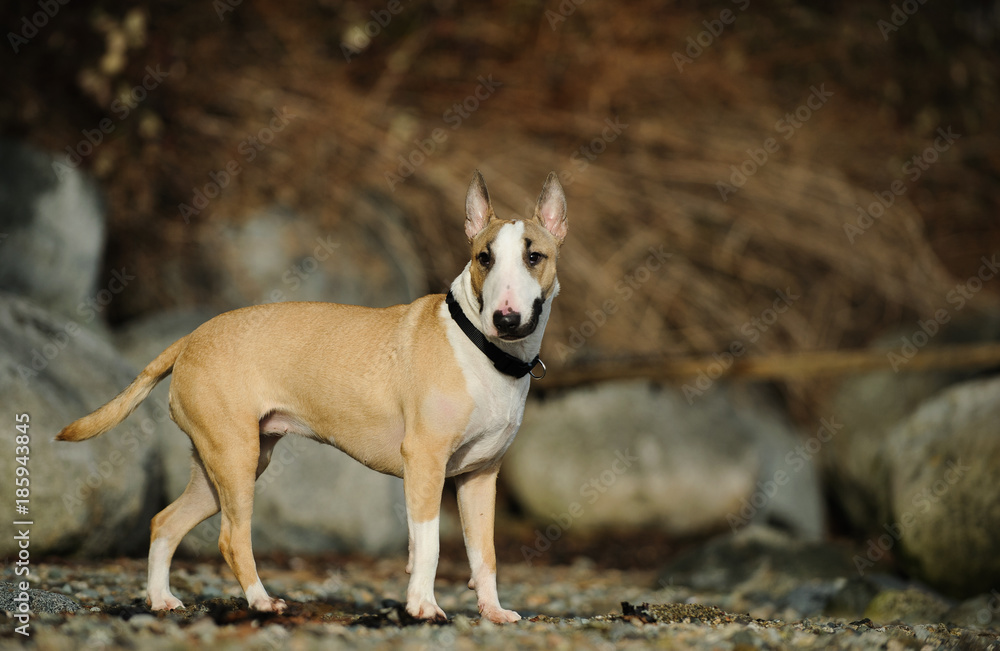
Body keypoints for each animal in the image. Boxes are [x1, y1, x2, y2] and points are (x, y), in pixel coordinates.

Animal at [56, 171, 572, 624]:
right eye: (484, 258)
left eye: (534, 257)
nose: (506, 319)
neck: (484, 350)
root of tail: (190, 339)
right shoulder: (425, 462)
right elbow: (428, 546)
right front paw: (423, 607)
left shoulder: (479, 478)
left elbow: (484, 555)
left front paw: (493, 612)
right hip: (236, 460)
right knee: (231, 538)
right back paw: (261, 602)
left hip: (221, 465)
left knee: (164, 523)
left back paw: (162, 600)